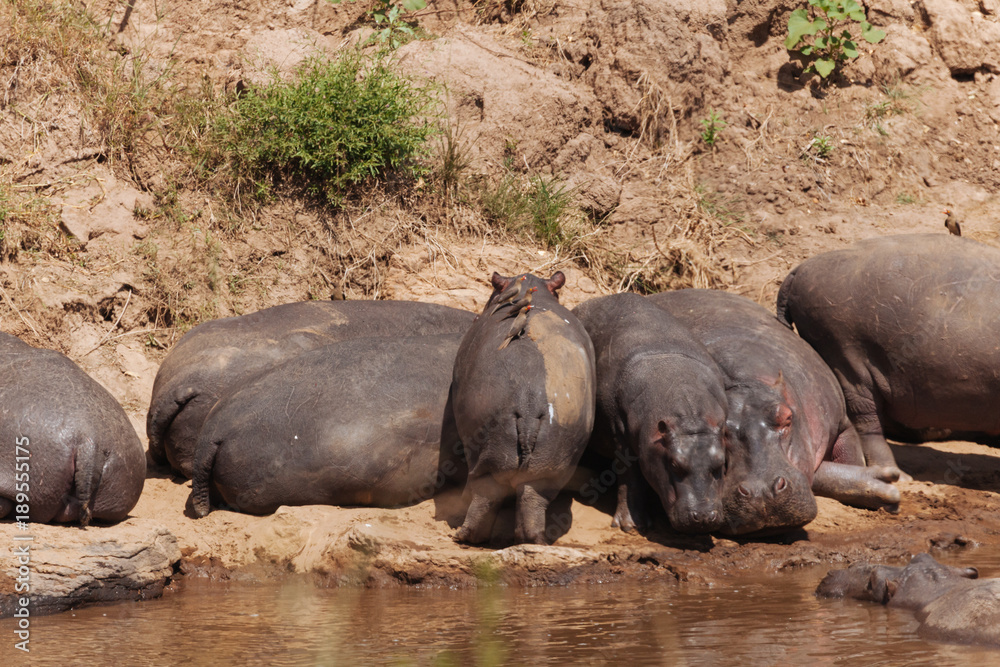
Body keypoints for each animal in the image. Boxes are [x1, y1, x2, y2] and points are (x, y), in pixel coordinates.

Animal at [451, 272, 596, 545]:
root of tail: (529, 410)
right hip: (550, 467)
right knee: (532, 499)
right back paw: (535, 541)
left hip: (489, 457)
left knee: (484, 495)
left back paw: (464, 536)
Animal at [572, 293, 728, 534]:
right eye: (674, 464)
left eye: (721, 463)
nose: (702, 517)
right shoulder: (621, 435)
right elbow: (630, 478)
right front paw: (630, 526)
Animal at [648, 290, 900, 535]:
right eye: (720, 432)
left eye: (787, 418)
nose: (762, 492)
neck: (743, 382)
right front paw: (885, 485)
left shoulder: (842, 425)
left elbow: (849, 456)